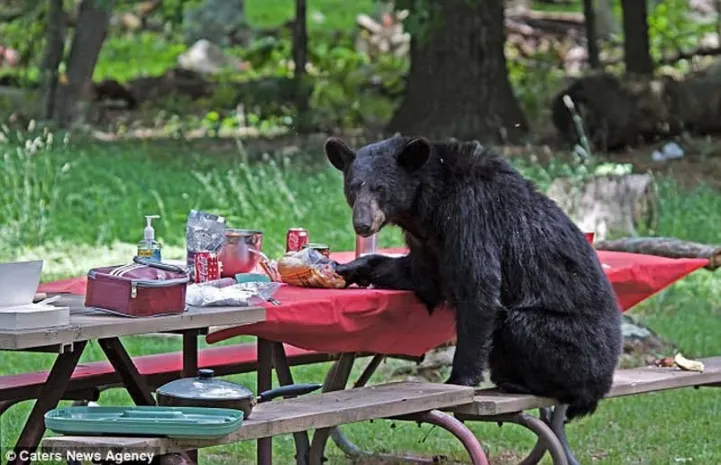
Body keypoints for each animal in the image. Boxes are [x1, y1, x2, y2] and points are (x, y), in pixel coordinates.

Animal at [324, 135, 623, 421]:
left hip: (576, 347)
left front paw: (458, 381)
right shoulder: (428, 241)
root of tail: (605, 381)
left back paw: (522, 383)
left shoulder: (471, 216)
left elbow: (478, 287)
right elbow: (421, 277)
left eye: (380, 188)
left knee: (522, 325)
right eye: (353, 187)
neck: (430, 204)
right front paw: (349, 267)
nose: (362, 224)